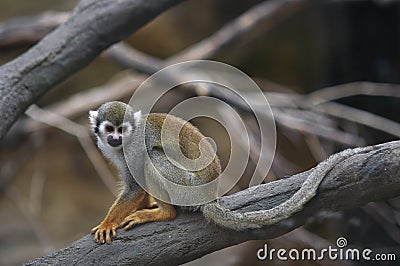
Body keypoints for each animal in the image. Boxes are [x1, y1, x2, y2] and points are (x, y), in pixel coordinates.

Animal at [89, 101, 360, 243]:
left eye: (122, 130)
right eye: (109, 129)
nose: (115, 138)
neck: (124, 144)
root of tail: (210, 196)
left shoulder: (134, 147)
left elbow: (135, 187)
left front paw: (107, 223)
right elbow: (136, 188)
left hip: (187, 188)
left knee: (153, 157)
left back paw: (165, 213)